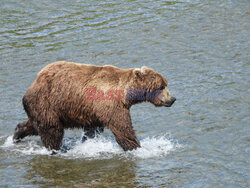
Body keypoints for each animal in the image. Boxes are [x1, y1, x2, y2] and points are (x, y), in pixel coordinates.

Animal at [12, 61, 176, 151]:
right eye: (161, 86)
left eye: (165, 84)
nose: (172, 98)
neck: (126, 95)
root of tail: (33, 84)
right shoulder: (109, 104)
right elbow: (123, 128)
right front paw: (136, 147)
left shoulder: (93, 112)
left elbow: (92, 130)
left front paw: (88, 143)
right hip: (47, 101)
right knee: (52, 129)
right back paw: (55, 149)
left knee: (36, 124)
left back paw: (17, 134)